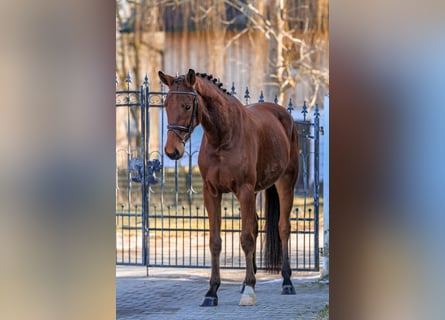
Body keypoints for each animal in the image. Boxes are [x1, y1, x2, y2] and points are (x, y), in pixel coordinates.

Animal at [158, 69, 300, 306]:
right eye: (166, 104)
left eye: (187, 106)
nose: (172, 151)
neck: (222, 137)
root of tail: (284, 115)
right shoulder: (211, 193)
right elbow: (215, 241)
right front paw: (212, 292)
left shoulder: (244, 190)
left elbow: (246, 239)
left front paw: (249, 291)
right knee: (255, 225)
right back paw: (246, 281)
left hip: (285, 183)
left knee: (283, 228)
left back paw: (286, 282)